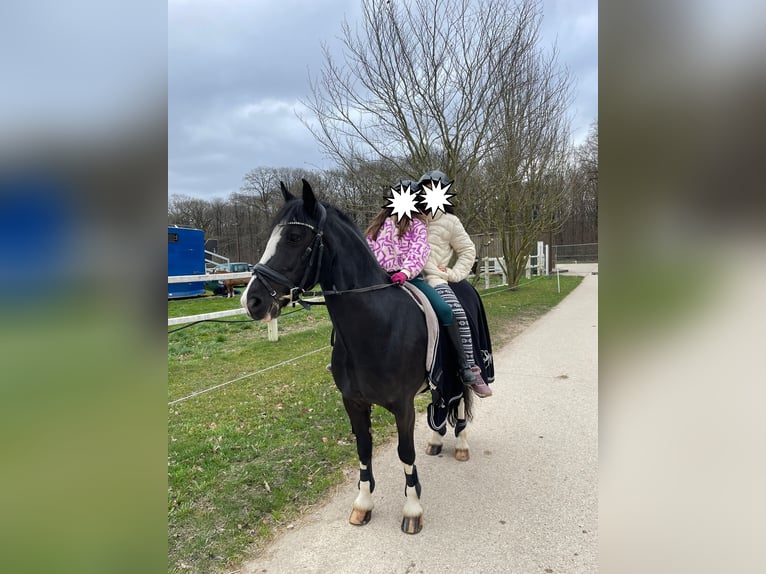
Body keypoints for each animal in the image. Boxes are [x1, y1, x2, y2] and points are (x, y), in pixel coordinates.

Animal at [242, 180, 468, 536]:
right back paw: (436, 441)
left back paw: (460, 445)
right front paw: (363, 504)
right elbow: (363, 448)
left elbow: (405, 452)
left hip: (459, 372)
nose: (252, 300)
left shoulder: (402, 406)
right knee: (443, 402)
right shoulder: (353, 402)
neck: (376, 327)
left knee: (460, 401)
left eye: (294, 237)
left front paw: (412, 509)